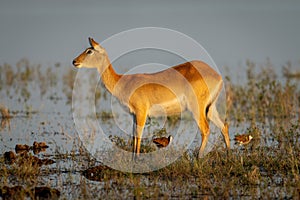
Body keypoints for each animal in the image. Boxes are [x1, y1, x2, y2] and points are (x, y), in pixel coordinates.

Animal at [72, 37, 230, 159]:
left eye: (89, 51)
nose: (74, 61)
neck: (123, 82)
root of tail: (217, 75)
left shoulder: (141, 112)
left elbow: (138, 135)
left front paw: (136, 161)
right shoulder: (134, 114)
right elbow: (134, 136)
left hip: (197, 108)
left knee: (206, 129)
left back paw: (198, 158)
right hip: (210, 108)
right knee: (224, 126)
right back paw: (228, 157)